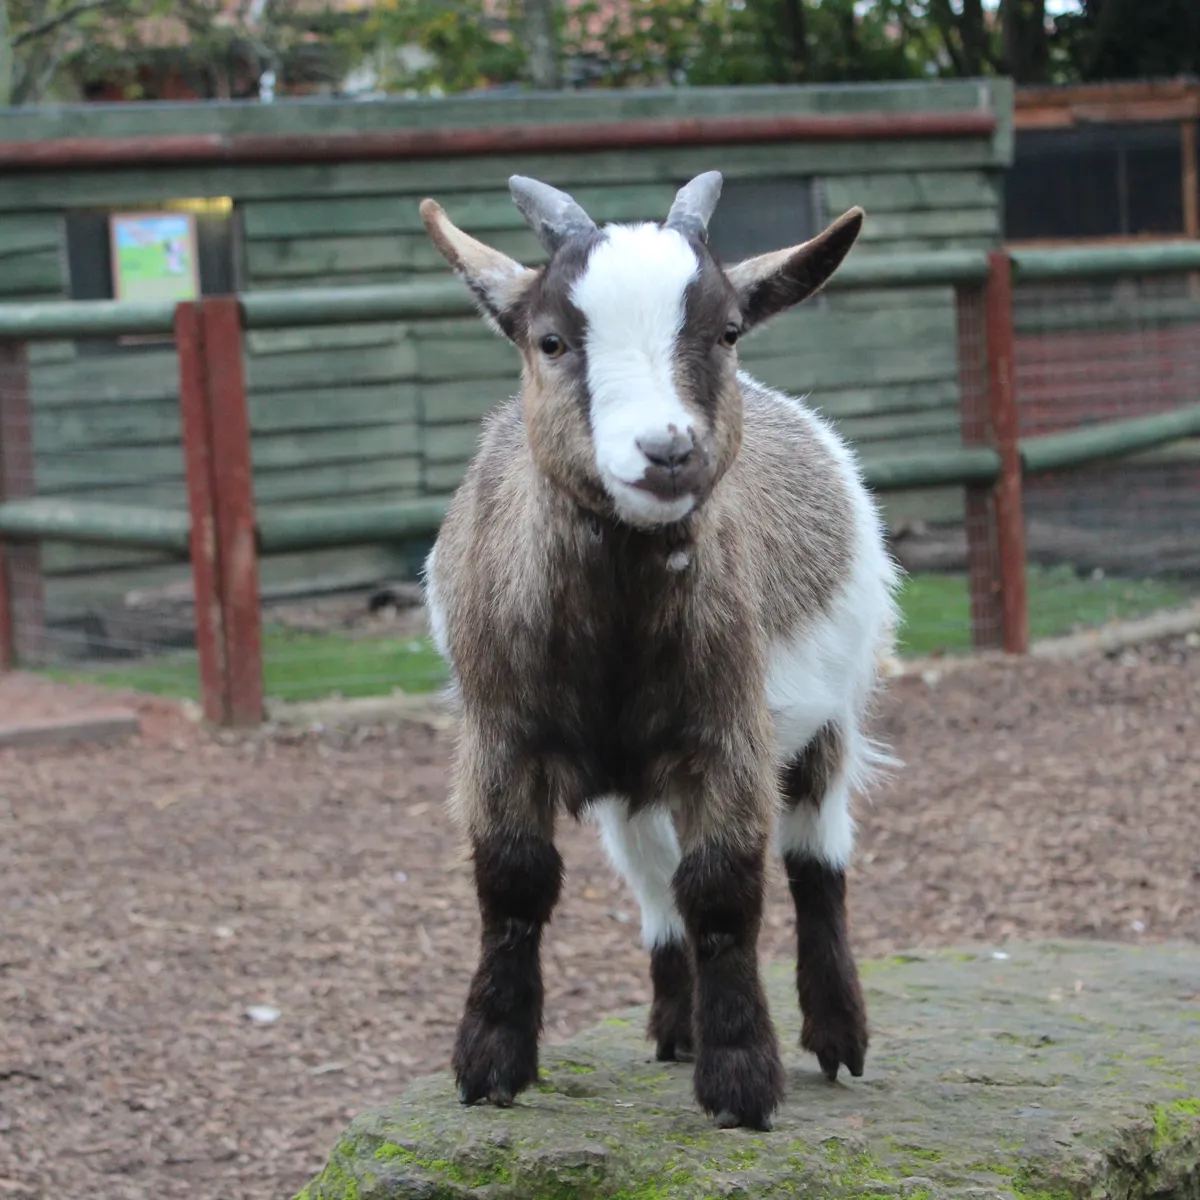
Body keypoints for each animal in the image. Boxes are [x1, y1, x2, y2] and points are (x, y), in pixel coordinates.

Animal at [419, 172, 900, 1131]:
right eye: (551, 339)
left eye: (726, 331)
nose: (667, 451)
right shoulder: (500, 735)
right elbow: (514, 883)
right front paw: (490, 1063)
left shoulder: (730, 731)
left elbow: (723, 889)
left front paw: (742, 1081)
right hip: (633, 789)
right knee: (654, 885)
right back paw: (676, 1029)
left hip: (831, 712)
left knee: (817, 859)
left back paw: (836, 1036)